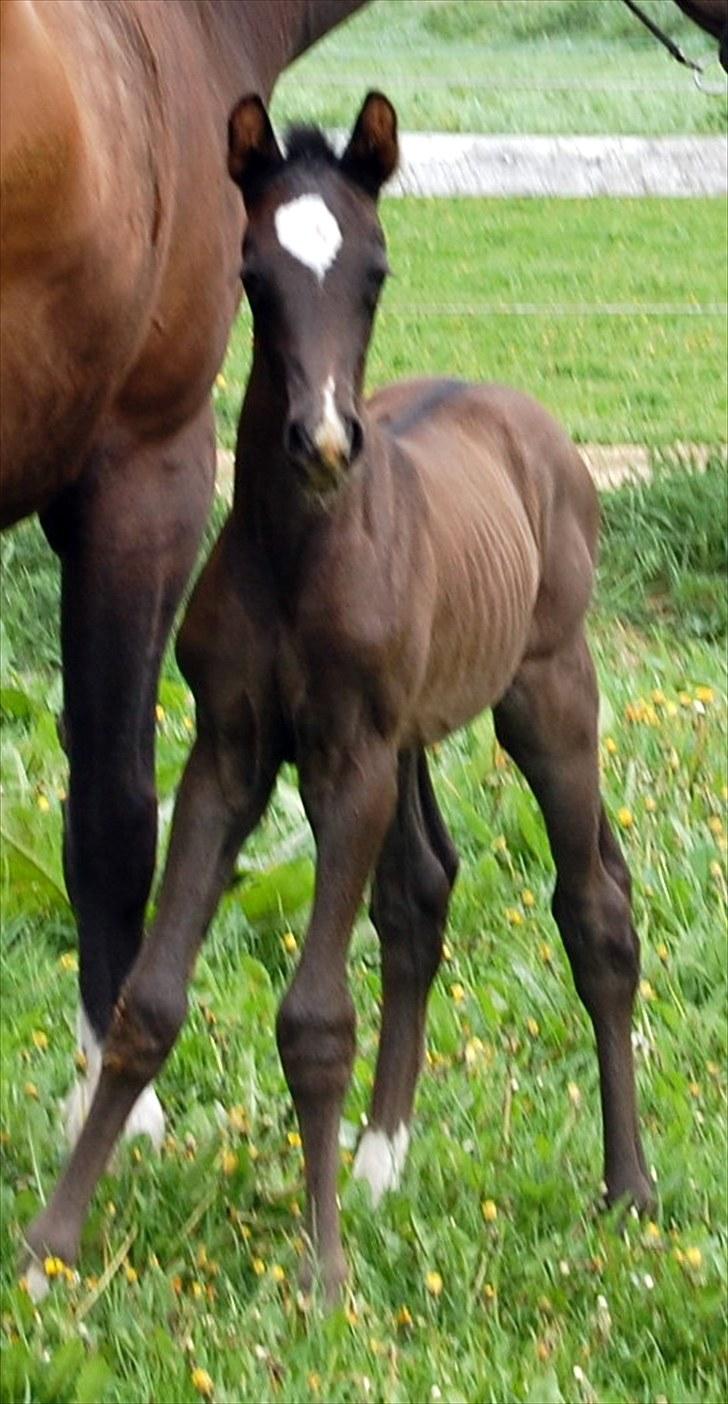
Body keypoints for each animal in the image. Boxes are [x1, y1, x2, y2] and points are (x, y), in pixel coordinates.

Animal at [25, 93, 656, 1302]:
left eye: (375, 268)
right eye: (252, 273)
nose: (321, 442)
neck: (296, 550)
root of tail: (520, 415)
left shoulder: (347, 756)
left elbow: (315, 1016)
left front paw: (319, 1276)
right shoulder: (231, 753)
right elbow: (147, 1000)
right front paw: (51, 1245)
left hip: (547, 694)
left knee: (594, 908)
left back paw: (630, 1192)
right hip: (408, 739)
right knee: (420, 896)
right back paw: (377, 1165)